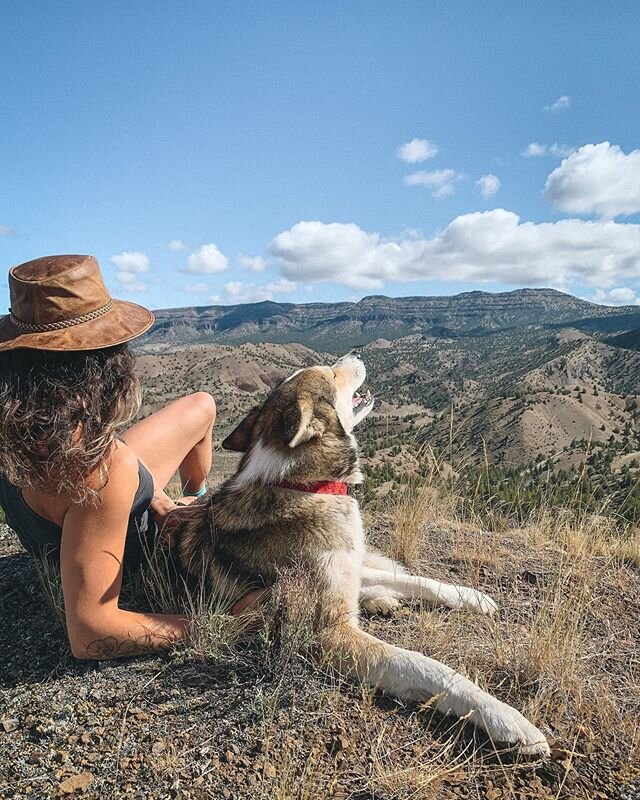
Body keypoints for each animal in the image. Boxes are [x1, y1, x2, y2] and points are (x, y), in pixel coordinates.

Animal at [176, 352, 552, 756]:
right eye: (332, 374)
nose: (355, 354)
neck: (305, 486)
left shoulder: (347, 566)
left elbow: (418, 580)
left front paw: (474, 598)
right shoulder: (327, 634)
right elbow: (422, 665)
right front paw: (507, 719)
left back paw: (382, 601)